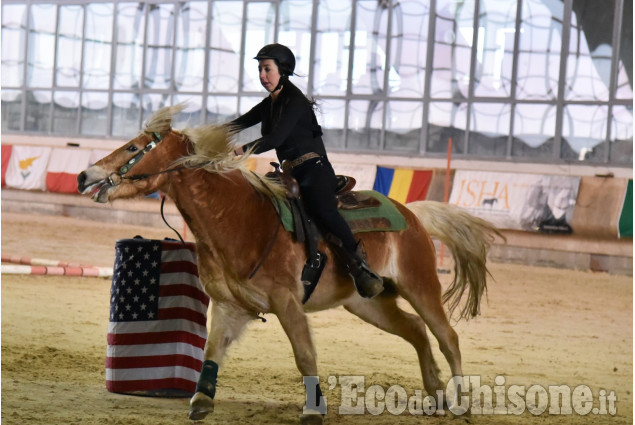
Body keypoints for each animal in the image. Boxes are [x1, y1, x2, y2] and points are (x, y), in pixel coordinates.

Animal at [77, 104, 502, 422]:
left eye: (134, 147)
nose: (84, 175)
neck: (241, 219)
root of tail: (412, 214)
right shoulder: (230, 306)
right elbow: (211, 354)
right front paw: (200, 402)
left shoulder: (287, 302)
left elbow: (304, 355)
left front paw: (313, 410)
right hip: (367, 302)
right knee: (415, 330)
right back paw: (435, 393)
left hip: (420, 285)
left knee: (447, 336)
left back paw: (459, 402)